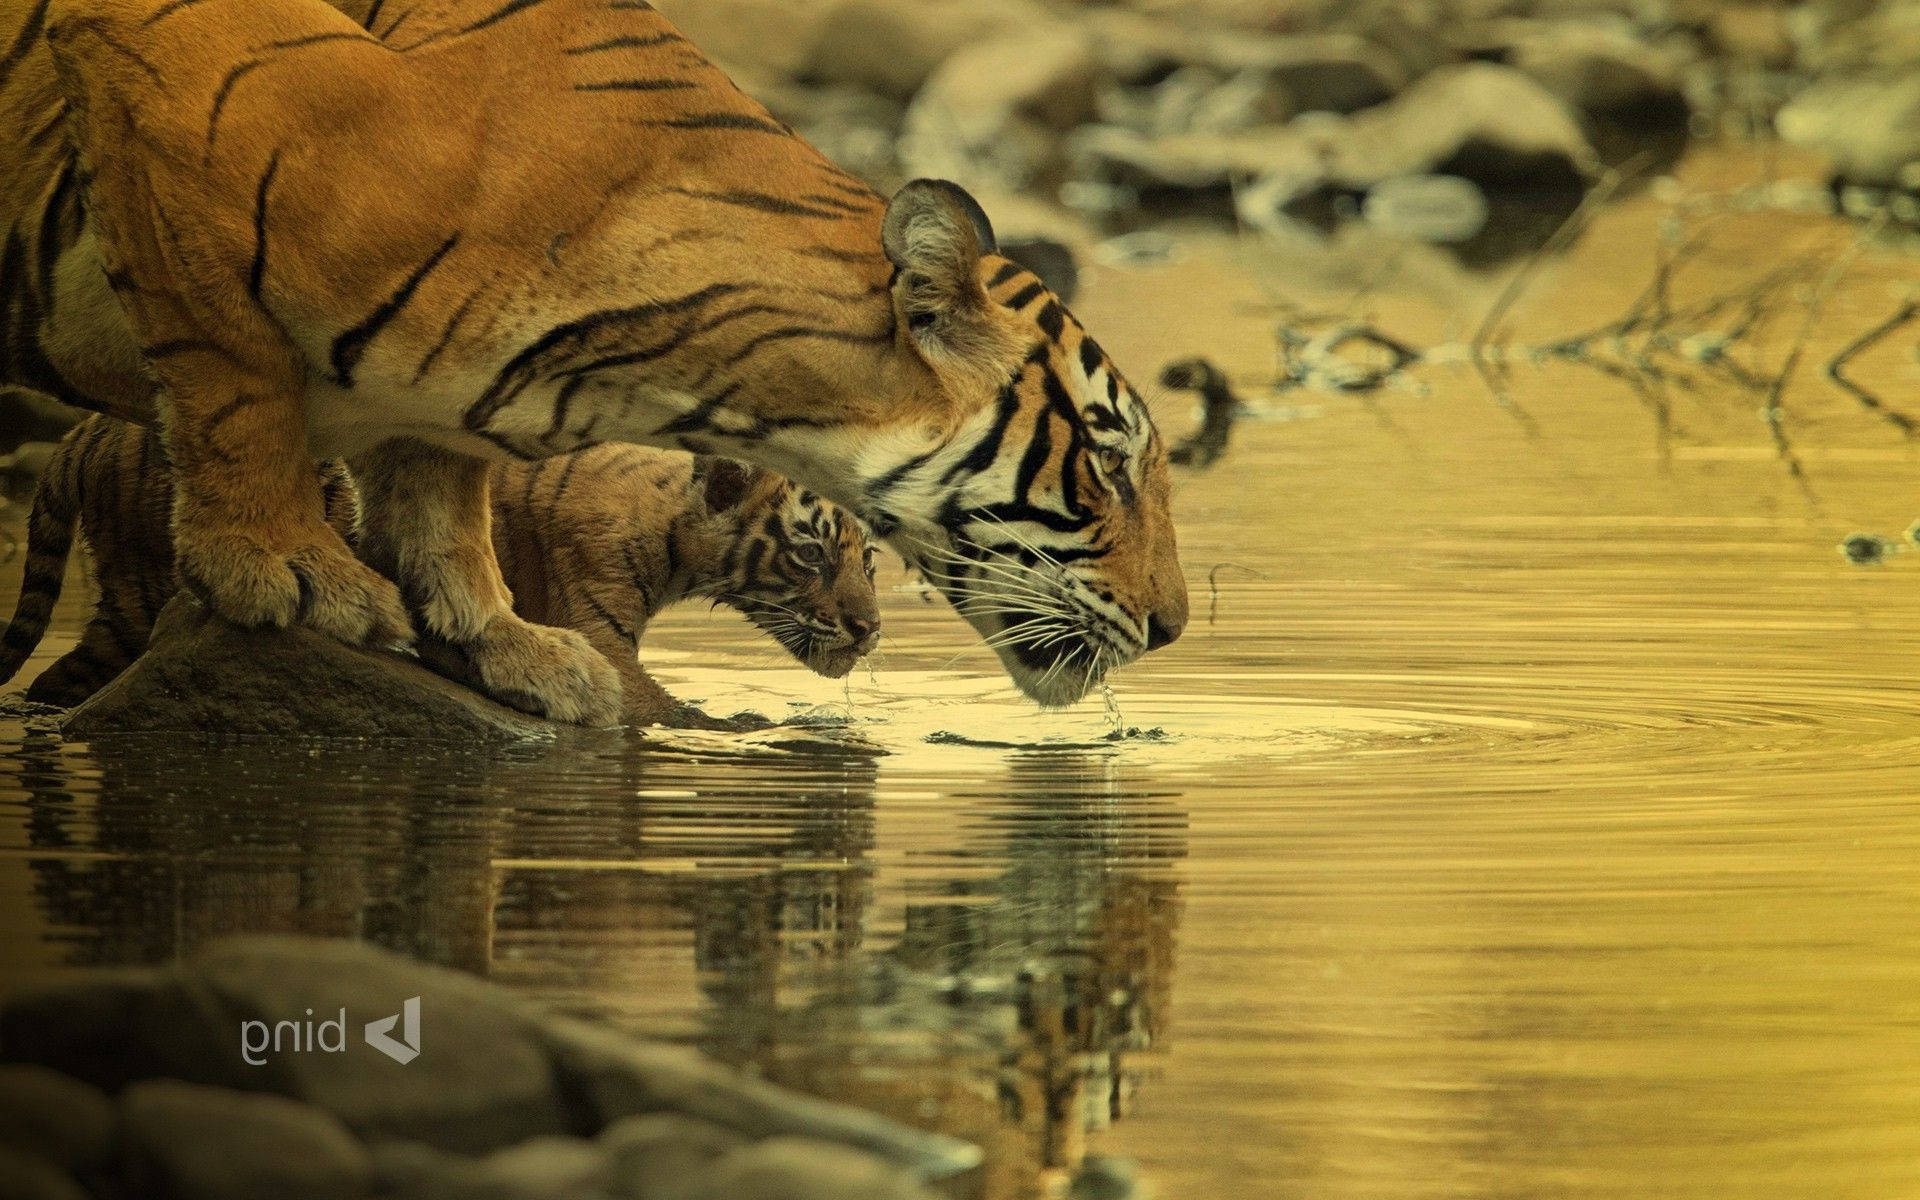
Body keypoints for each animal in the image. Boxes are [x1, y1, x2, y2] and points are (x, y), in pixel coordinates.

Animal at [0, 417, 881, 719]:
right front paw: (746, 728)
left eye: (868, 560)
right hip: (136, 594)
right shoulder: (597, 628)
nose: (871, 631)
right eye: (809, 553)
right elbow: (666, 710)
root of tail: (77, 434)